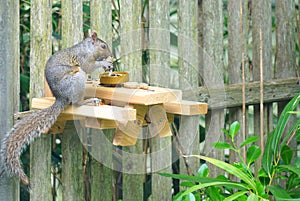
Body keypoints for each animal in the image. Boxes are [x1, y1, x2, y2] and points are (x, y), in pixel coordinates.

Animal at [0, 31, 112, 187]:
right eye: (103, 46)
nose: (111, 55)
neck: (87, 48)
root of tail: (60, 98)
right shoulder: (83, 59)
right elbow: (89, 66)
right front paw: (105, 63)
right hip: (77, 77)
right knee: (76, 103)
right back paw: (89, 101)